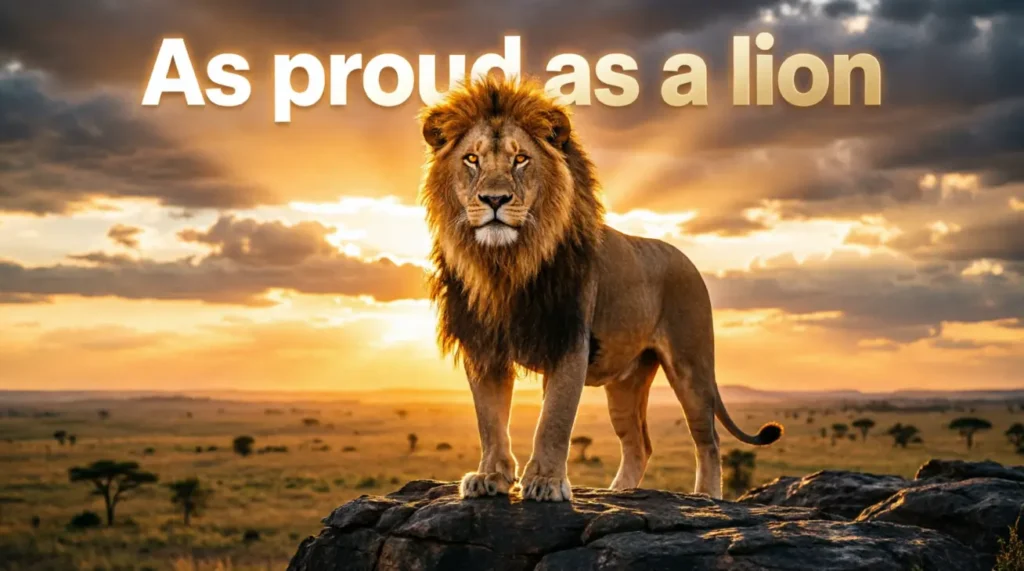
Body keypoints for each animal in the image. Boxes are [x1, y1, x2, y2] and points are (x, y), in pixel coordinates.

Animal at [419, 77, 782, 502]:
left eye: (520, 158)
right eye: (472, 159)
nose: (494, 199)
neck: (506, 263)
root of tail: (685, 258)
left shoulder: (569, 339)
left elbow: (554, 419)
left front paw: (545, 482)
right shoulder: (484, 345)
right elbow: (489, 420)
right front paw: (490, 477)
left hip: (691, 365)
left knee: (707, 438)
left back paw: (705, 498)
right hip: (626, 382)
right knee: (639, 444)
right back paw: (619, 493)